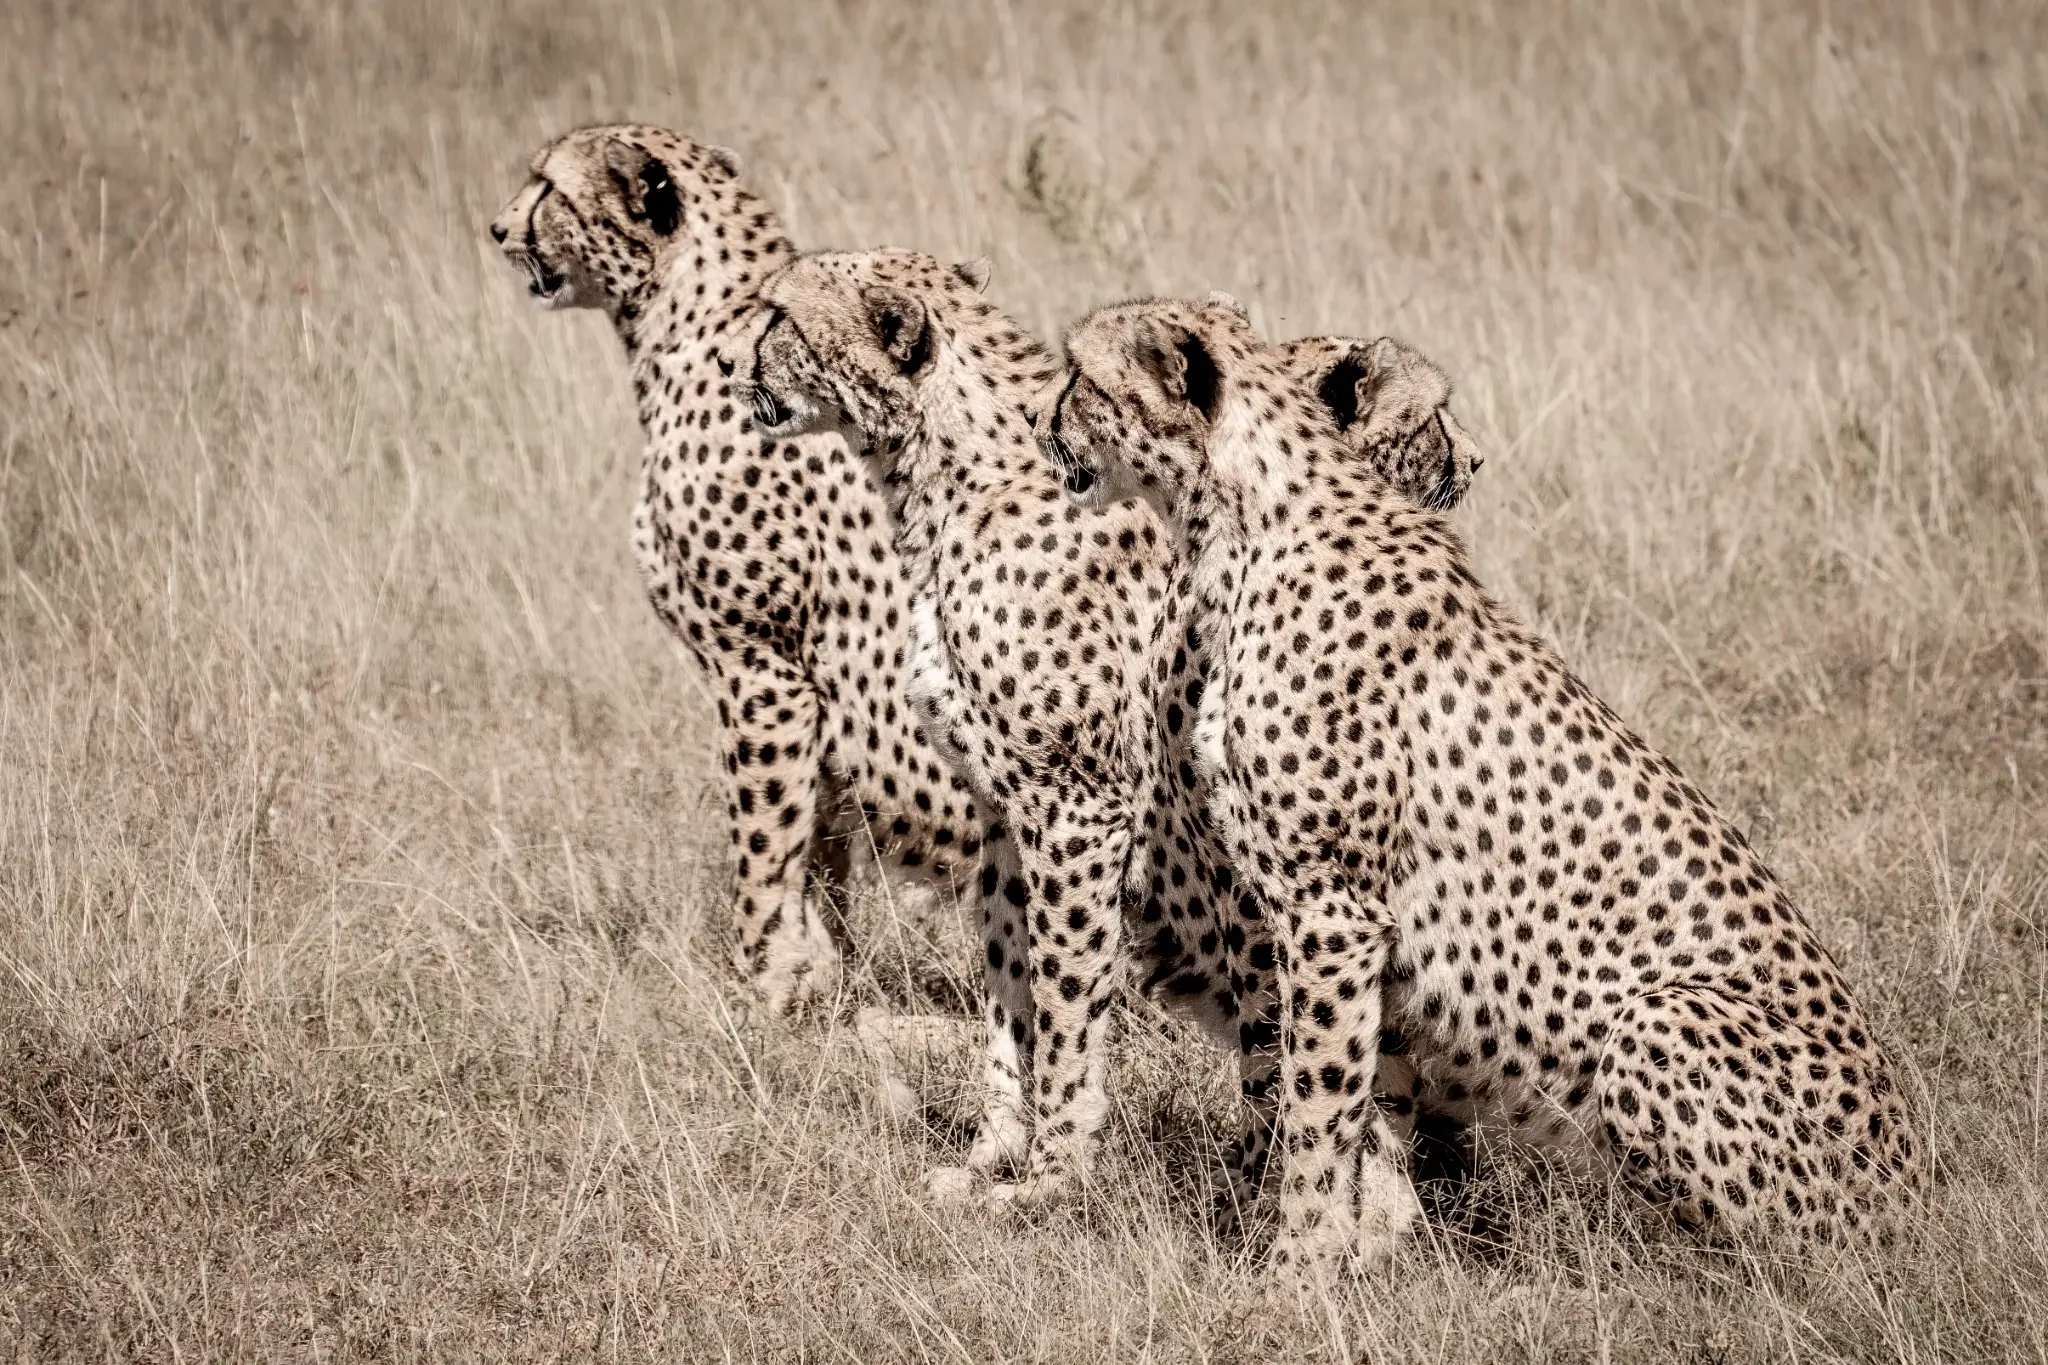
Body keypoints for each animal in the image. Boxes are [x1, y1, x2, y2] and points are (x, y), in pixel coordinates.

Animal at [488, 125, 991, 1017]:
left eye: (546, 185)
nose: (497, 227)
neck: (684, 327)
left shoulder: (758, 661)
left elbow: (762, 832)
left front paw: (766, 980)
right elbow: (816, 845)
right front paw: (822, 971)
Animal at [1042, 297, 1920, 1274]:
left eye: (1082, 376)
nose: (1046, 425)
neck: (1232, 523)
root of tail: (1916, 1190)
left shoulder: (1328, 907)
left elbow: (1317, 1101)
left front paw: (1296, 1268)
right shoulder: (1349, 925)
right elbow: (1366, 1098)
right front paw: (1373, 1248)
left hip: (1659, 1022)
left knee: (1775, 1259)